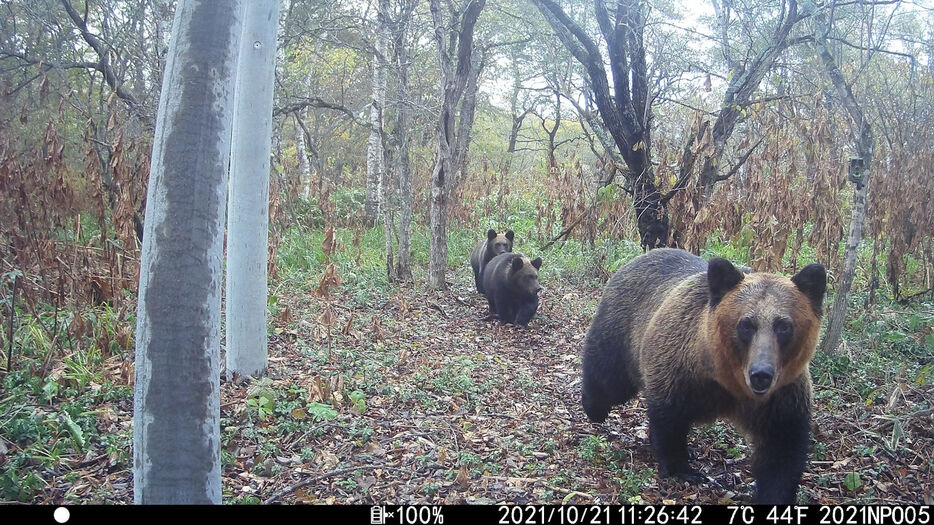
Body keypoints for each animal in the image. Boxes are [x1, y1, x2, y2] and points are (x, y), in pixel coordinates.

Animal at [580, 250, 828, 504]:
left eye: (783, 325)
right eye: (746, 324)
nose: (761, 374)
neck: (726, 380)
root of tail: (636, 260)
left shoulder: (782, 398)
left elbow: (781, 450)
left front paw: (775, 494)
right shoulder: (679, 372)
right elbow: (669, 422)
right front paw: (682, 469)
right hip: (623, 332)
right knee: (609, 375)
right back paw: (594, 408)